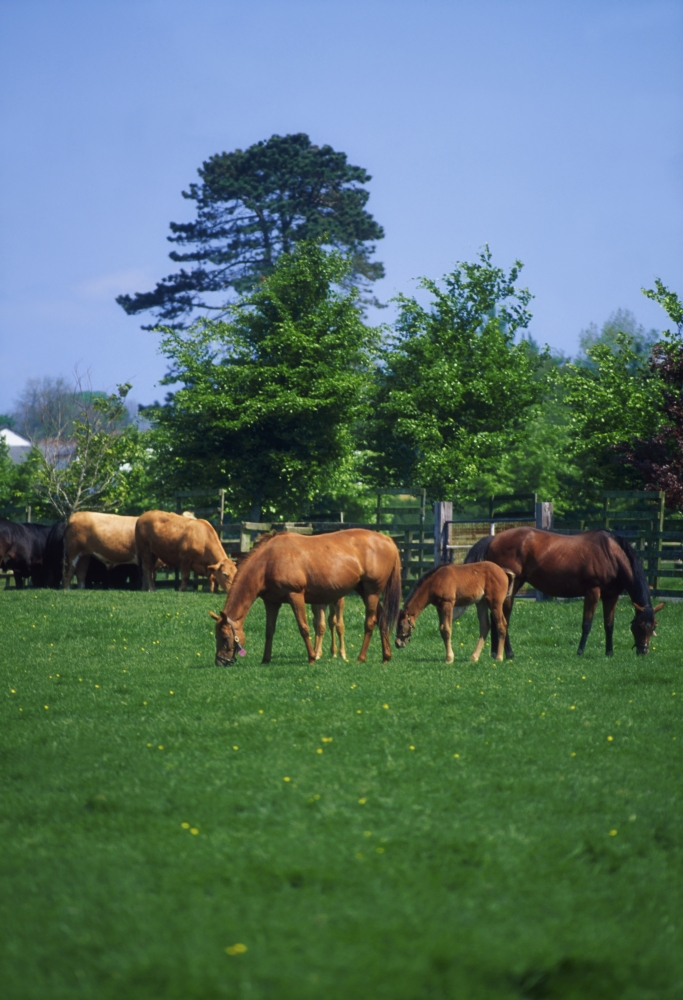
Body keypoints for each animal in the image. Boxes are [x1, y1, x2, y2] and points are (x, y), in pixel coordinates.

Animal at [210, 529, 401, 666]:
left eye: (224, 637)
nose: (220, 662)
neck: (268, 561)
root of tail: (388, 540)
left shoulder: (295, 596)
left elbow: (304, 628)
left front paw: (311, 657)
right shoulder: (271, 602)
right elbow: (269, 630)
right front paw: (266, 659)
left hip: (372, 592)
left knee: (370, 622)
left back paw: (361, 657)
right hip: (364, 591)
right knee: (382, 620)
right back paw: (386, 656)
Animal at [465, 527, 665, 657]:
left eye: (654, 626)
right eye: (639, 626)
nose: (643, 651)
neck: (611, 554)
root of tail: (493, 538)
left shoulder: (611, 596)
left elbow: (609, 625)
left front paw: (609, 652)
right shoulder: (593, 592)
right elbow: (587, 624)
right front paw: (580, 651)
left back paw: (494, 653)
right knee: (503, 617)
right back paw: (508, 653)